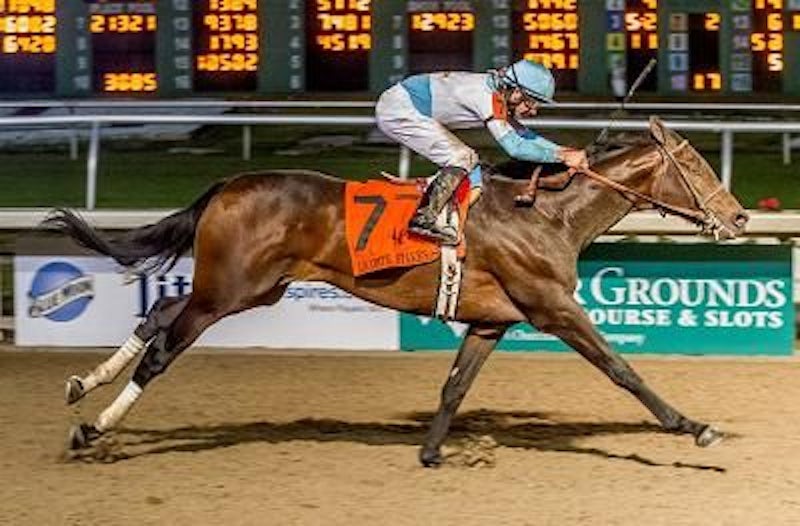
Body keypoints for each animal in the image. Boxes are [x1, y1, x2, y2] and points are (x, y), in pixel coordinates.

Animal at [47, 117, 749, 466]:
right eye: (696, 167)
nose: (739, 217)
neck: (547, 213)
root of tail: (228, 184)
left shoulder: (493, 321)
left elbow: (455, 385)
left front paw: (434, 452)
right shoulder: (552, 307)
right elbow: (621, 369)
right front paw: (695, 428)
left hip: (252, 288)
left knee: (161, 311)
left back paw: (82, 383)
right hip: (229, 289)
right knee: (165, 346)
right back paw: (92, 429)